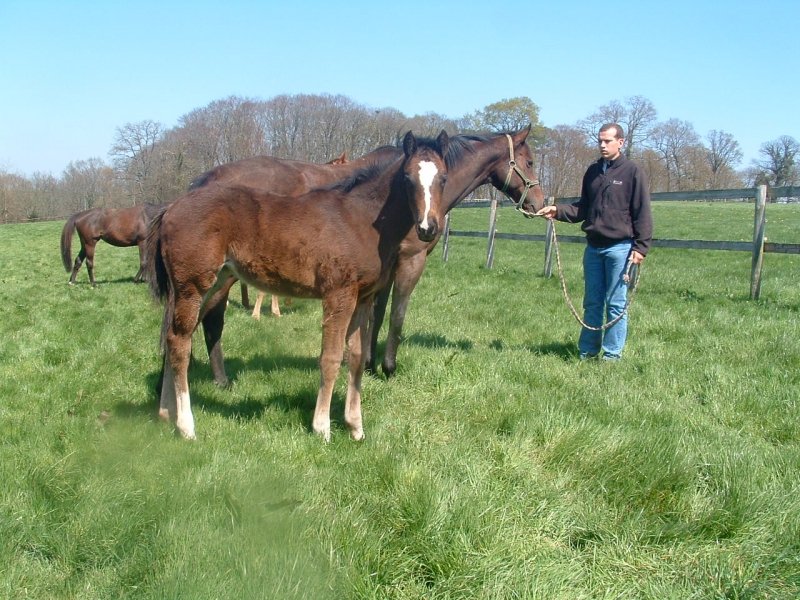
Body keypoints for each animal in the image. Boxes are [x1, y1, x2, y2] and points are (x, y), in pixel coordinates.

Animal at [145, 131, 449, 441]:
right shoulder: (338, 295)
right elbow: (331, 357)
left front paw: (355, 428)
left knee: (175, 337)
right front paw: (322, 428)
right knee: (180, 343)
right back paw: (186, 426)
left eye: (443, 178)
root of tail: (171, 207)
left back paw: (165, 414)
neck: (360, 219)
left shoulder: (363, 298)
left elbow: (355, 357)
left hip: (210, 284)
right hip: (193, 285)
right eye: (408, 178)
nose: (427, 228)